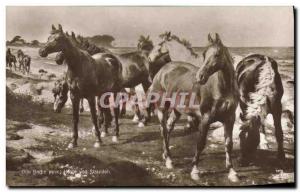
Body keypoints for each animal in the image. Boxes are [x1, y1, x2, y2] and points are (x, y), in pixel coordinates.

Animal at [149, 33, 239, 182]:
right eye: (204, 54)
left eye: (217, 54)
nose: (200, 77)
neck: (222, 88)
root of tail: (162, 71)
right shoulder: (205, 119)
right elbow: (200, 143)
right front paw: (195, 171)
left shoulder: (229, 119)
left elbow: (228, 144)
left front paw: (232, 172)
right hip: (162, 108)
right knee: (163, 130)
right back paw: (168, 160)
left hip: (176, 110)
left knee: (168, 128)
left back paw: (167, 155)